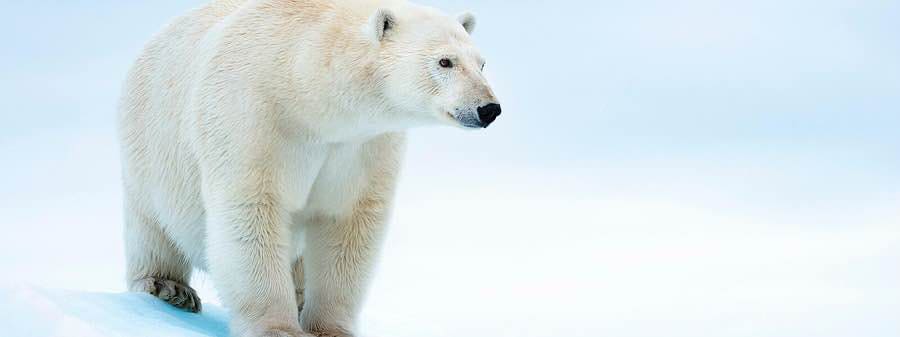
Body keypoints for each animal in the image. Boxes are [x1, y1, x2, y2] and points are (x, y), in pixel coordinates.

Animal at [116, 0, 500, 334]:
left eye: (481, 63)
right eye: (445, 61)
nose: (488, 108)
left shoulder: (362, 146)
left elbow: (348, 224)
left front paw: (329, 329)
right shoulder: (251, 115)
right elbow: (252, 211)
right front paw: (278, 328)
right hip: (150, 144)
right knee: (151, 225)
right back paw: (168, 287)